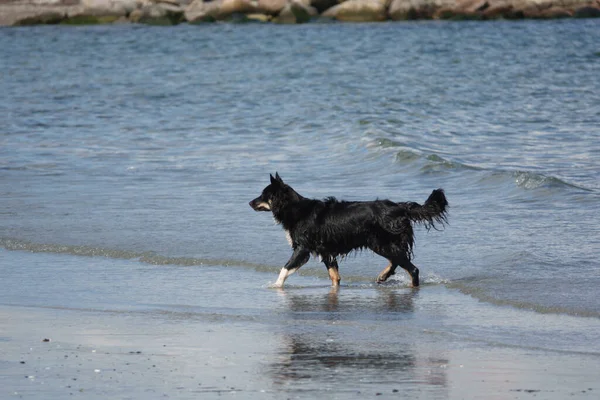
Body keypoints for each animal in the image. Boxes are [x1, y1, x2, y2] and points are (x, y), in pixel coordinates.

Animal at [247, 173, 446, 290]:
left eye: (263, 195)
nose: (249, 202)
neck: (295, 209)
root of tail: (401, 207)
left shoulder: (303, 249)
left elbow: (285, 268)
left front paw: (275, 285)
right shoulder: (326, 251)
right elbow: (334, 276)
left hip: (381, 243)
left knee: (412, 268)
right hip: (385, 243)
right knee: (397, 261)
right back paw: (383, 276)